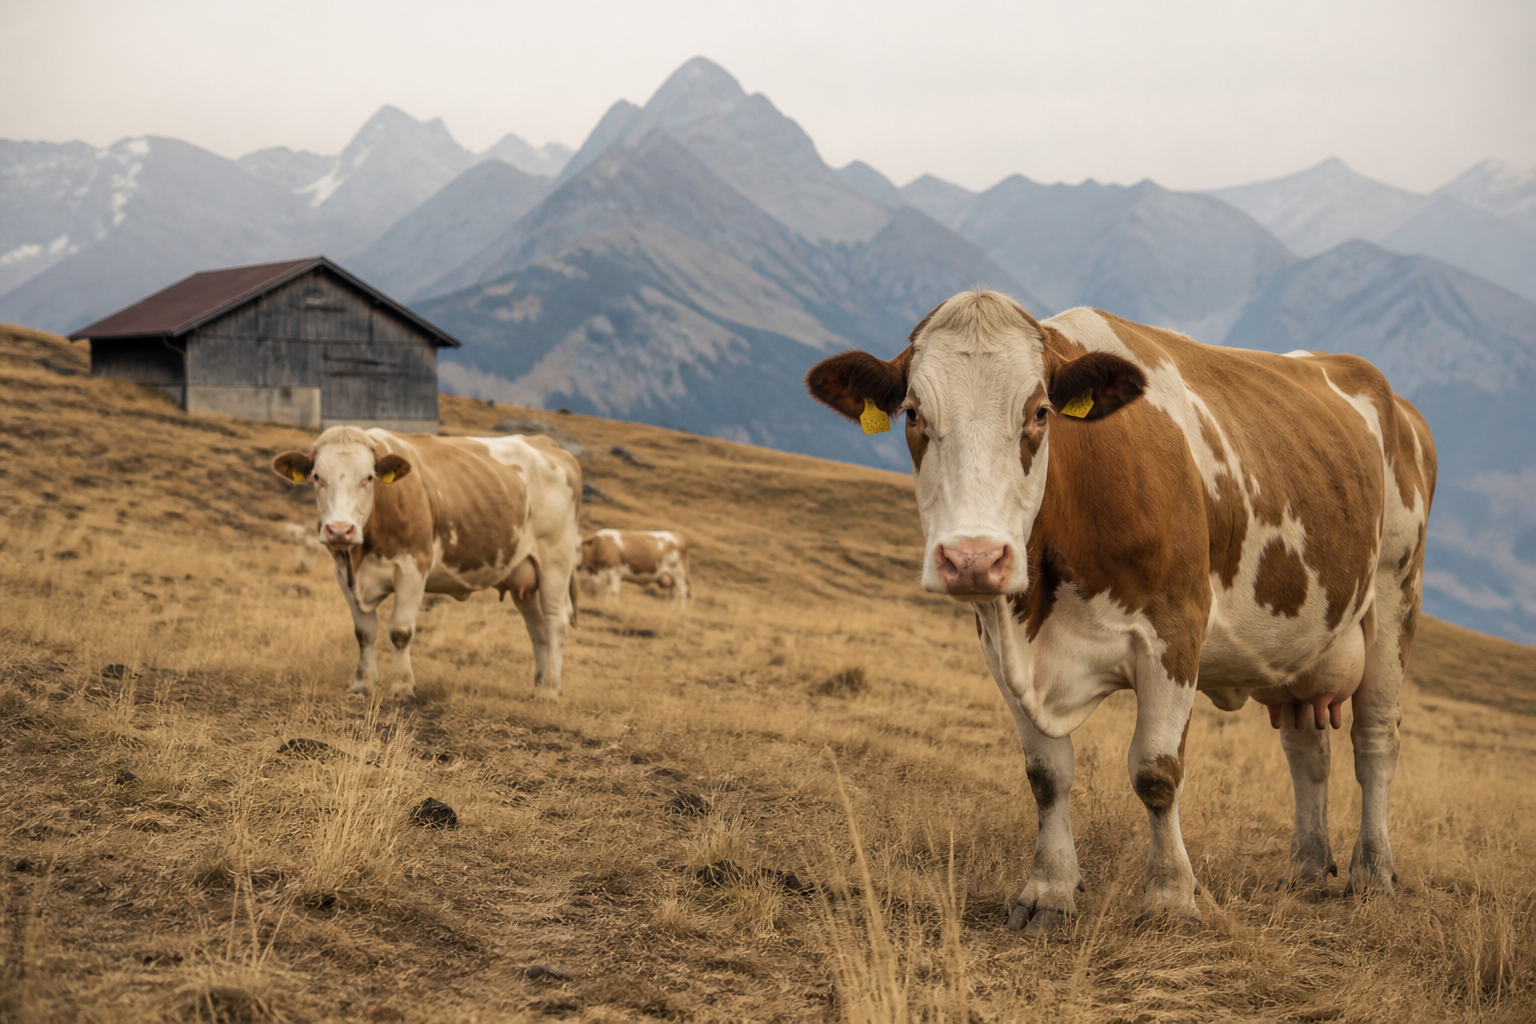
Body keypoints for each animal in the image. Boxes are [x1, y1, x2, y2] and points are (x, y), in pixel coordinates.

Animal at [271, 426, 582, 699]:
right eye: (316, 476)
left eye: (369, 477)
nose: (339, 530)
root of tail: (546, 443)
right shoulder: (343, 572)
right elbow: (364, 632)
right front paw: (363, 684)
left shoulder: (413, 567)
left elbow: (400, 631)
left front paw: (401, 686)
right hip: (523, 577)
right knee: (536, 627)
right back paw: (539, 684)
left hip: (555, 559)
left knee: (555, 619)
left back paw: (551, 689)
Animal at [806, 291, 1434, 931]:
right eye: (912, 414)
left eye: (1040, 413)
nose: (973, 558)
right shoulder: (999, 647)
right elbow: (1047, 775)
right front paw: (1050, 891)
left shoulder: (1175, 629)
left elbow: (1156, 770)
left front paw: (1172, 899)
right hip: (1303, 646)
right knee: (1307, 749)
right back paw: (1306, 869)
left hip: (1396, 589)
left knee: (1375, 740)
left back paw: (1372, 872)